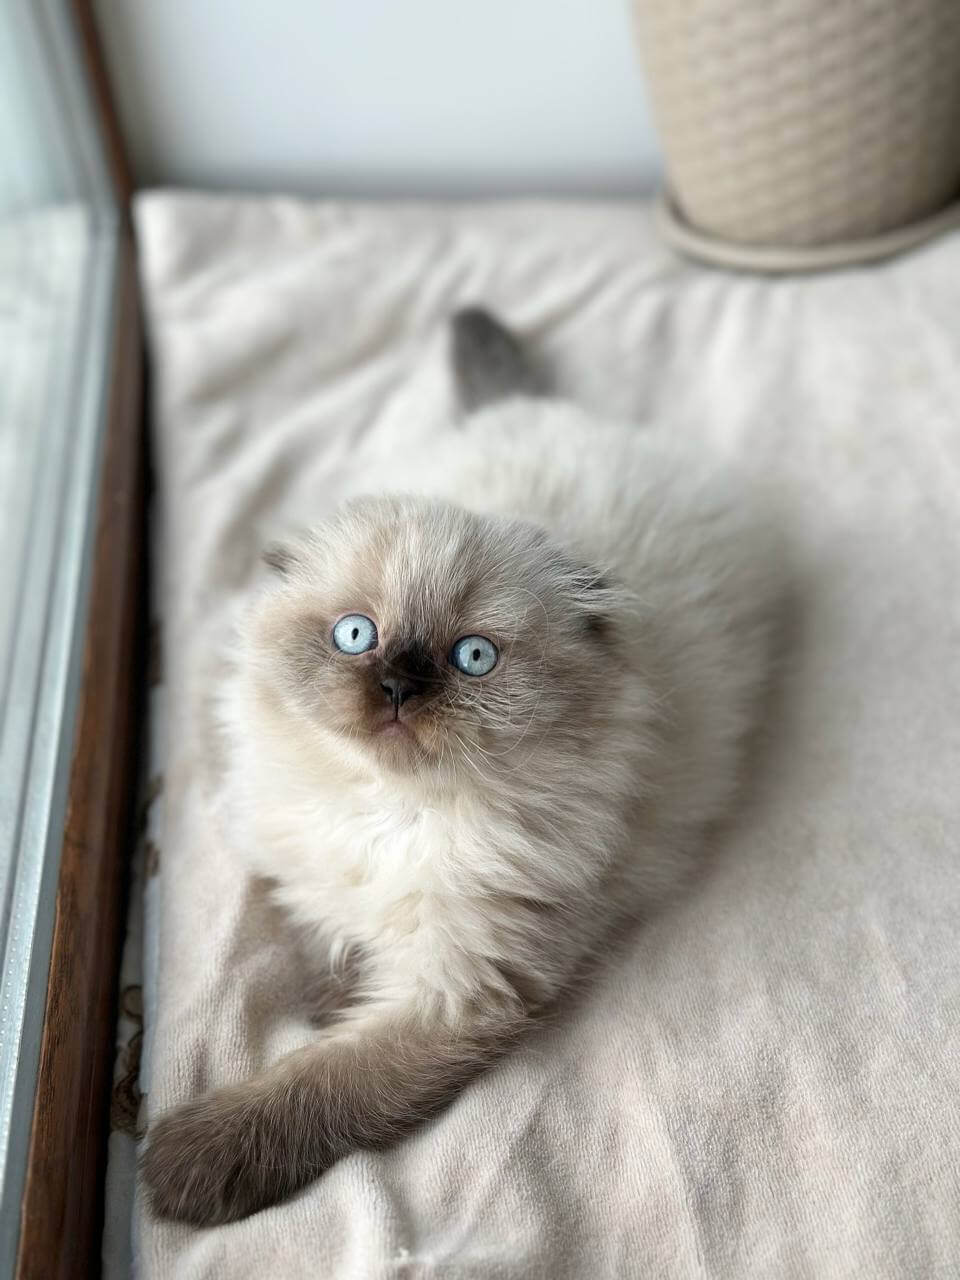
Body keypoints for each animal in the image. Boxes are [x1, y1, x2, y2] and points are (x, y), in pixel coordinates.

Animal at [142, 308, 784, 1226]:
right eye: (356, 636)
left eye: (472, 657)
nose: (399, 687)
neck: (386, 811)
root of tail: (554, 412)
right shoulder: (321, 885)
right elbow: (324, 944)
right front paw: (330, 994)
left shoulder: (455, 987)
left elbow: (320, 1084)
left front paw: (182, 1168)